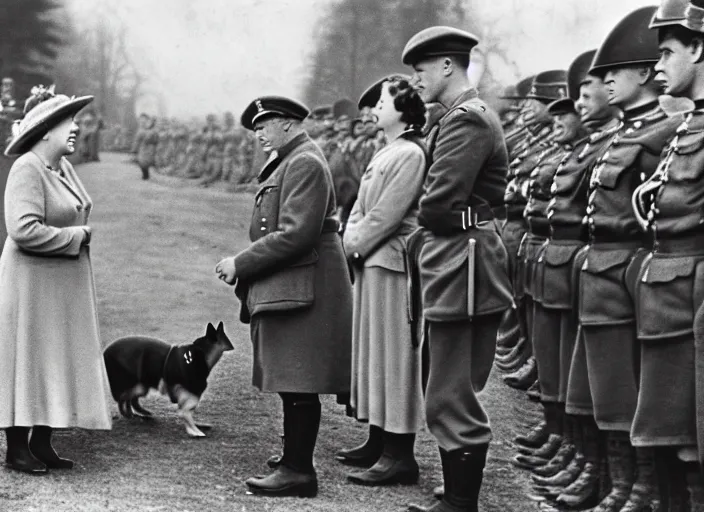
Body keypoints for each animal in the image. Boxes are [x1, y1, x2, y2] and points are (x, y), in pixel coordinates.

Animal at [103, 320, 234, 436]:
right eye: (224, 337)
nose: (232, 346)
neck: (202, 353)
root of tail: (105, 352)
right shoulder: (190, 392)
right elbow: (186, 411)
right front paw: (194, 430)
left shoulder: (186, 393)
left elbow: (187, 409)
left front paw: (196, 425)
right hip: (138, 386)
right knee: (123, 398)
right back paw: (128, 413)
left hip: (142, 386)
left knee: (131, 399)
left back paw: (140, 414)